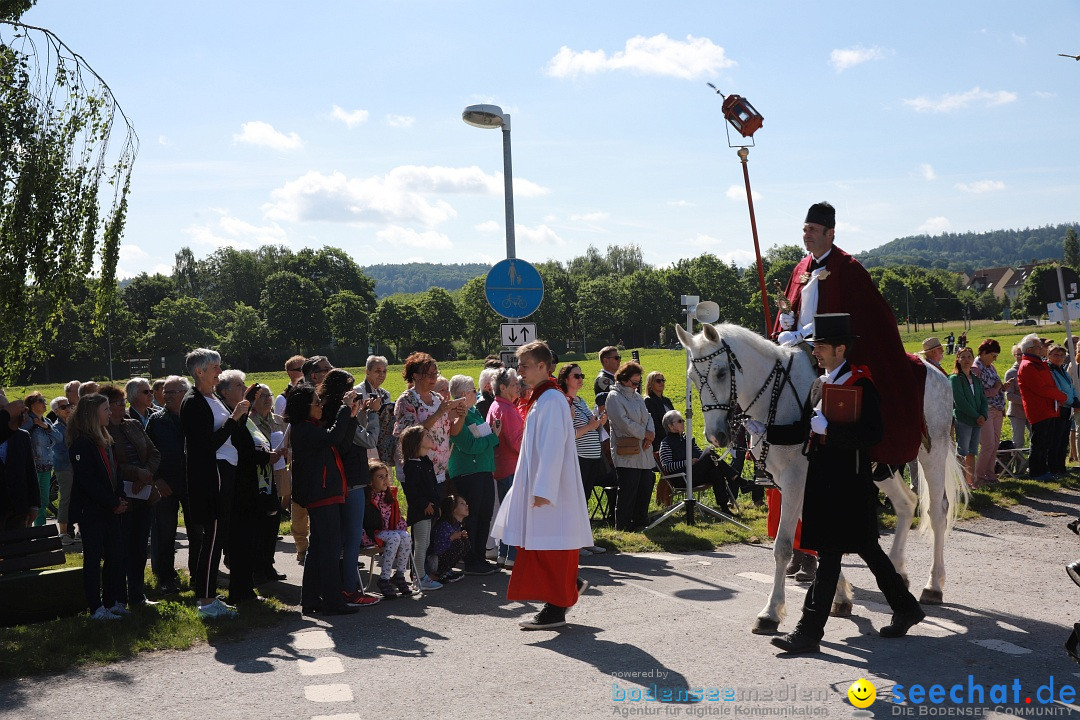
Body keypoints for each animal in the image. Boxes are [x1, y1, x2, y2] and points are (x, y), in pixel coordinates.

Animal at [673, 323, 972, 634]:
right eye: (691, 377)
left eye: (721, 372)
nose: (715, 436)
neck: (777, 397)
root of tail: (937, 371)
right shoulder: (794, 483)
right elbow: (818, 537)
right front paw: (840, 597)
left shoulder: (796, 480)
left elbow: (784, 546)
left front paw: (771, 612)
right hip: (882, 470)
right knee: (906, 503)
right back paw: (898, 571)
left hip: (932, 452)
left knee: (936, 512)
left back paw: (933, 585)